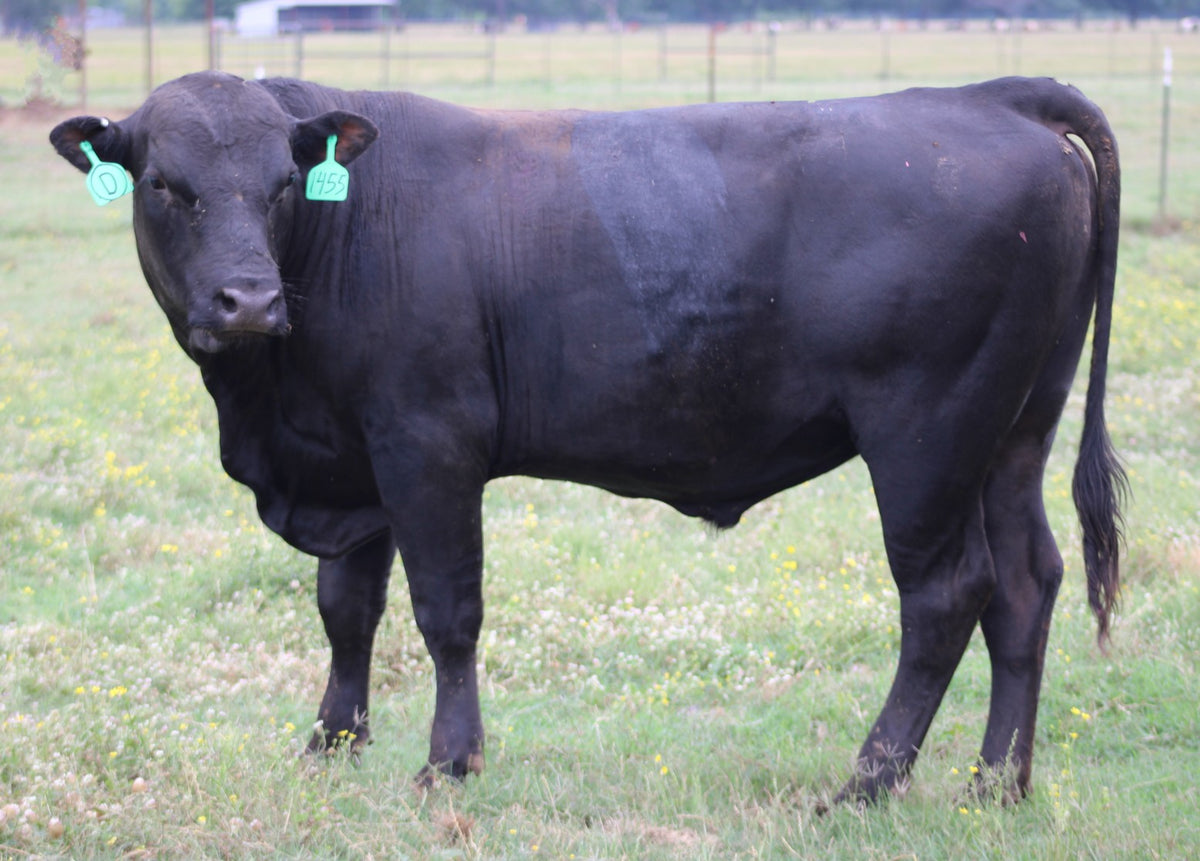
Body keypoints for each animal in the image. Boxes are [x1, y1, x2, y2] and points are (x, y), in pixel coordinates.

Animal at [50, 72, 1124, 807]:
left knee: (945, 596)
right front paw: (332, 742)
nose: (250, 301)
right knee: (1026, 585)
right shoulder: (351, 462)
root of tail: (988, 97)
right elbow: (346, 609)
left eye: (281, 183)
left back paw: (867, 782)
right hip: (1013, 431)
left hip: (926, 436)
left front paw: (449, 761)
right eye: (164, 184)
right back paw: (995, 784)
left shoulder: (427, 442)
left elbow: (446, 613)